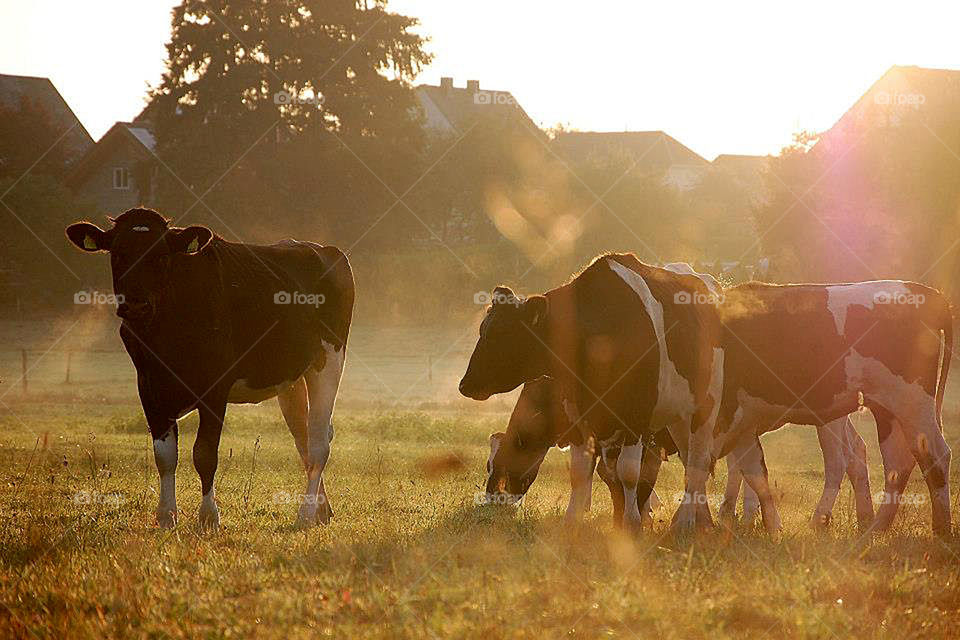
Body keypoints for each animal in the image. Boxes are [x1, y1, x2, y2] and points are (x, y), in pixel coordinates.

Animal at [65, 208, 354, 529]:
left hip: (328, 359)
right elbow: (164, 455)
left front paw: (208, 516)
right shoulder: (149, 387)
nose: (137, 306)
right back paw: (321, 510)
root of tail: (320, 248)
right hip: (290, 378)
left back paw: (305, 514)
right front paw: (166, 515)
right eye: (118, 254)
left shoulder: (215, 388)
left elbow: (204, 454)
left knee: (318, 441)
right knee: (303, 437)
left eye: (162, 256)